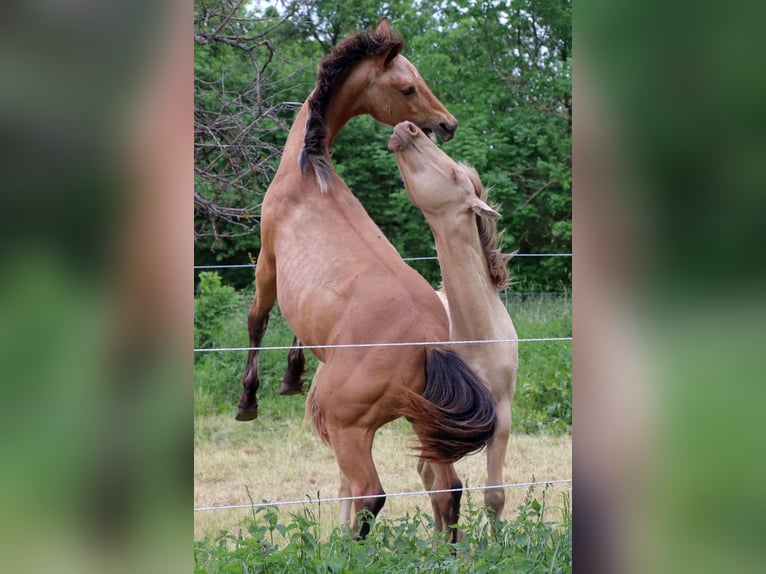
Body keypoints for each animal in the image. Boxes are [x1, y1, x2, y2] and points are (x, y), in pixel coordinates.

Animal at [234, 18, 498, 540]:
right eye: (408, 85)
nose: (447, 124)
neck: (309, 176)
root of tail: (427, 345)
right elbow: (296, 333)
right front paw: (291, 377)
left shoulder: (267, 263)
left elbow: (257, 321)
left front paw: (248, 400)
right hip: (424, 426)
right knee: (447, 488)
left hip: (350, 431)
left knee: (370, 495)